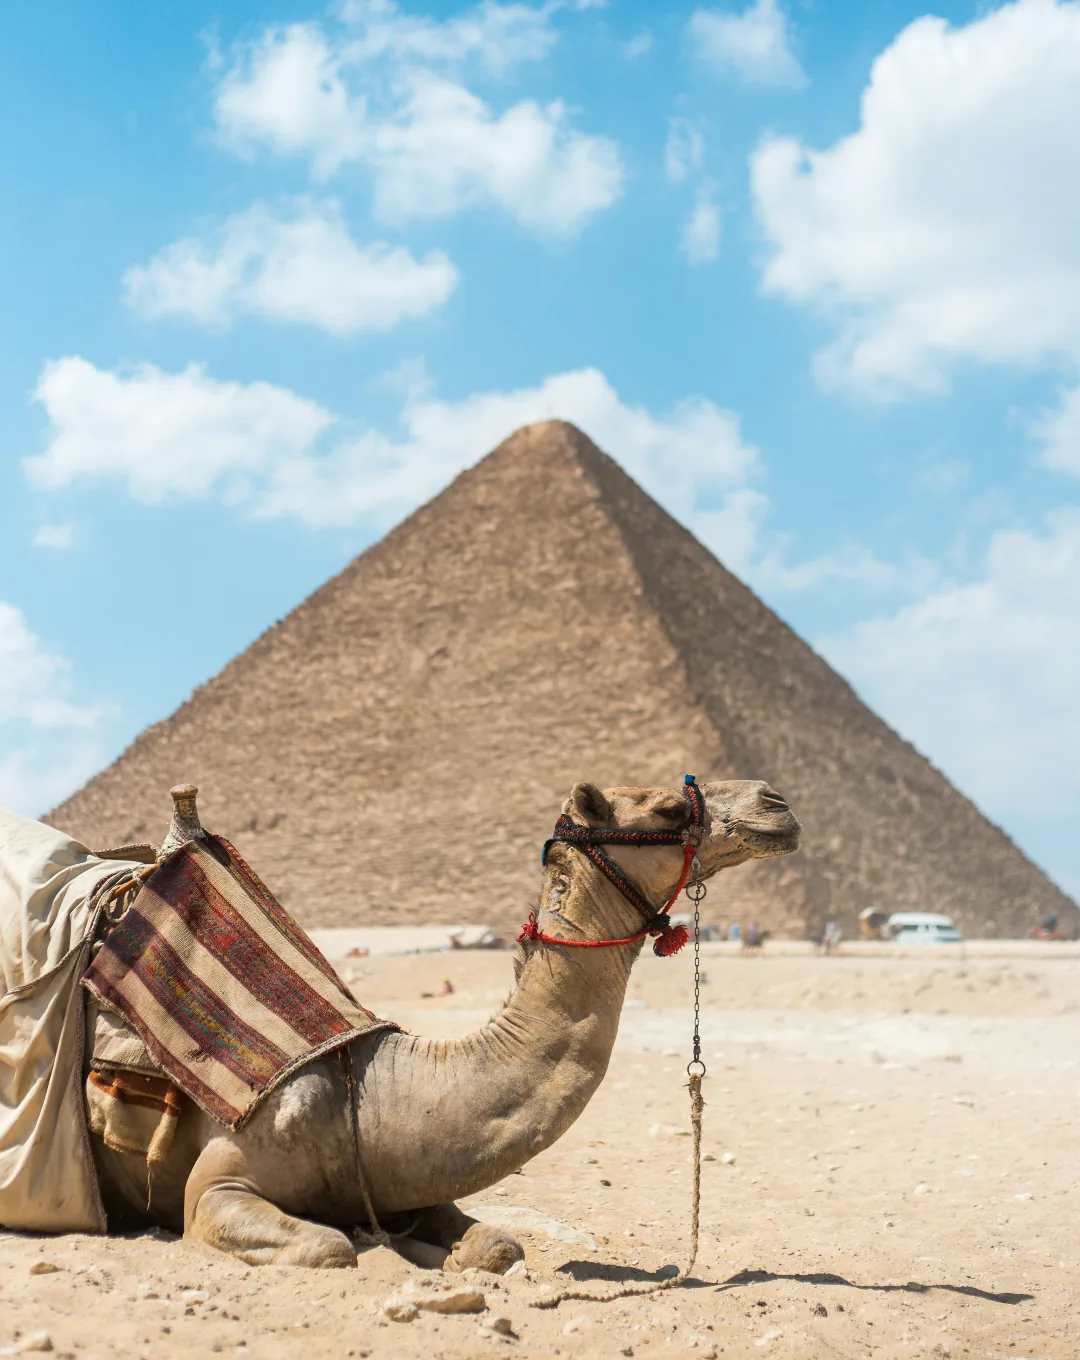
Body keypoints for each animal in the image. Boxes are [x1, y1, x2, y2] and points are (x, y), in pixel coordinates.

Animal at [85, 777, 799, 1272]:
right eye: (669, 810)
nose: (777, 803)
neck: (365, 1096)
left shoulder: (411, 1183)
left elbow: (499, 1245)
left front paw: (443, 1257)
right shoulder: (218, 1186)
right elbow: (330, 1248)